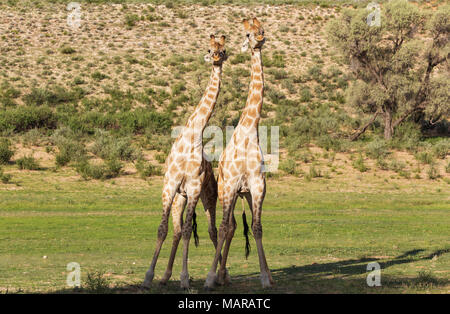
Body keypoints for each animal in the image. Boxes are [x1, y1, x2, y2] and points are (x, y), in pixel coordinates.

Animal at [143, 34, 229, 290]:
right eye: (210, 48)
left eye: (224, 49)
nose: (216, 57)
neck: (192, 135)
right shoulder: (170, 185)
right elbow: (163, 229)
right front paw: (149, 277)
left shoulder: (193, 187)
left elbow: (191, 231)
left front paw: (184, 279)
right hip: (180, 198)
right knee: (178, 230)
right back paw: (165, 276)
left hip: (209, 197)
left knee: (212, 230)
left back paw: (222, 275)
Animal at [205, 17, 274, 290]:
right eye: (247, 33)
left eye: (262, 27)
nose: (260, 37)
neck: (249, 131)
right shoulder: (232, 186)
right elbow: (224, 227)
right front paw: (210, 277)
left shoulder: (257, 187)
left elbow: (257, 227)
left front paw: (266, 277)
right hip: (227, 191)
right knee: (229, 225)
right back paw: (218, 275)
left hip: (243, 194)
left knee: (238, 226)